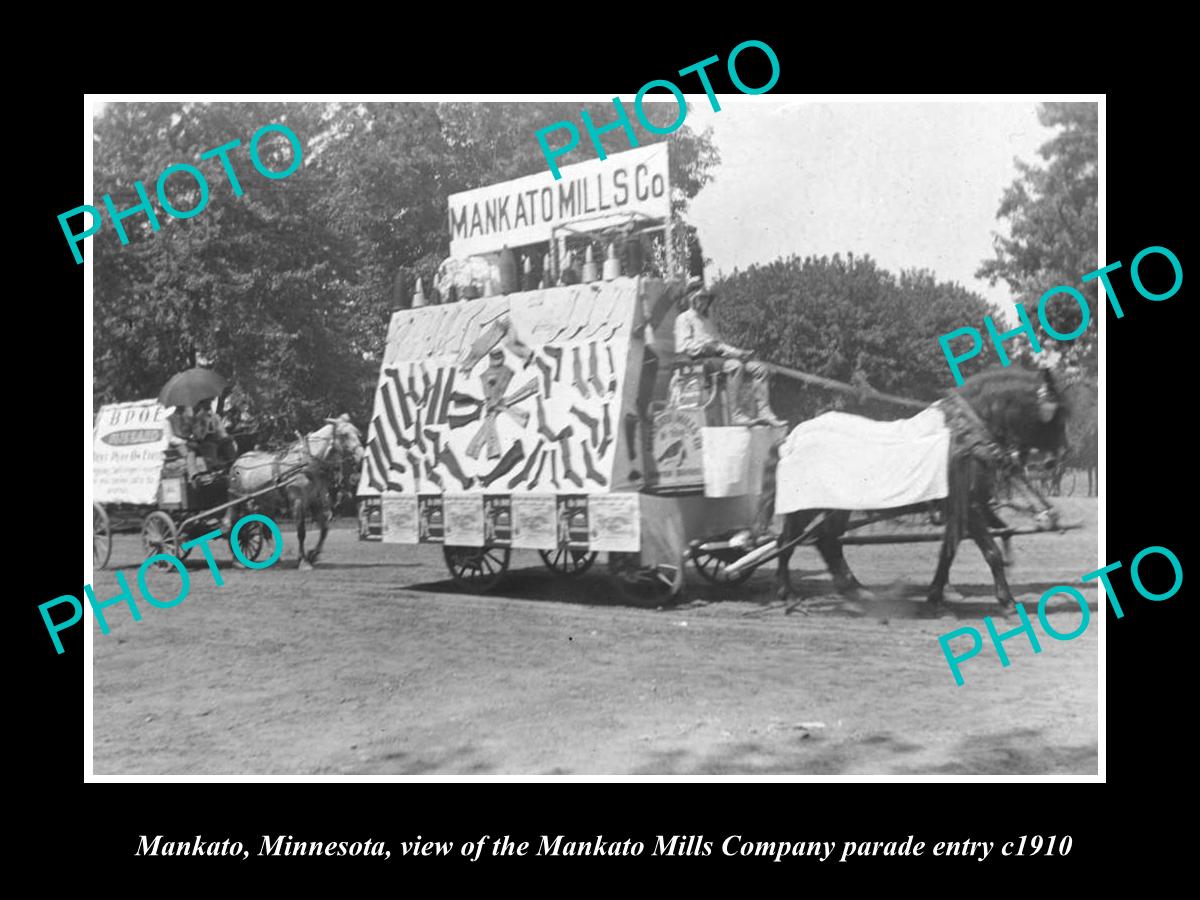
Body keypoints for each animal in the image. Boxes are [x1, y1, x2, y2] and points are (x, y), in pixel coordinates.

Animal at [758, 367, 1070, 614]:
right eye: (1054, 417)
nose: (1053, 461)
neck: (963, 436)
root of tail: (792, 438)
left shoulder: (958, 508)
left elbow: (948, 551)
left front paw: (936, 595)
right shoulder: (971, 507)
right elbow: (990, 552)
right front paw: (1007, 601)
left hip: (835, 506)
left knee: (824, 542)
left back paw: (855, 592)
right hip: (806, 504)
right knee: (792, 541)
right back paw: (790, 595)